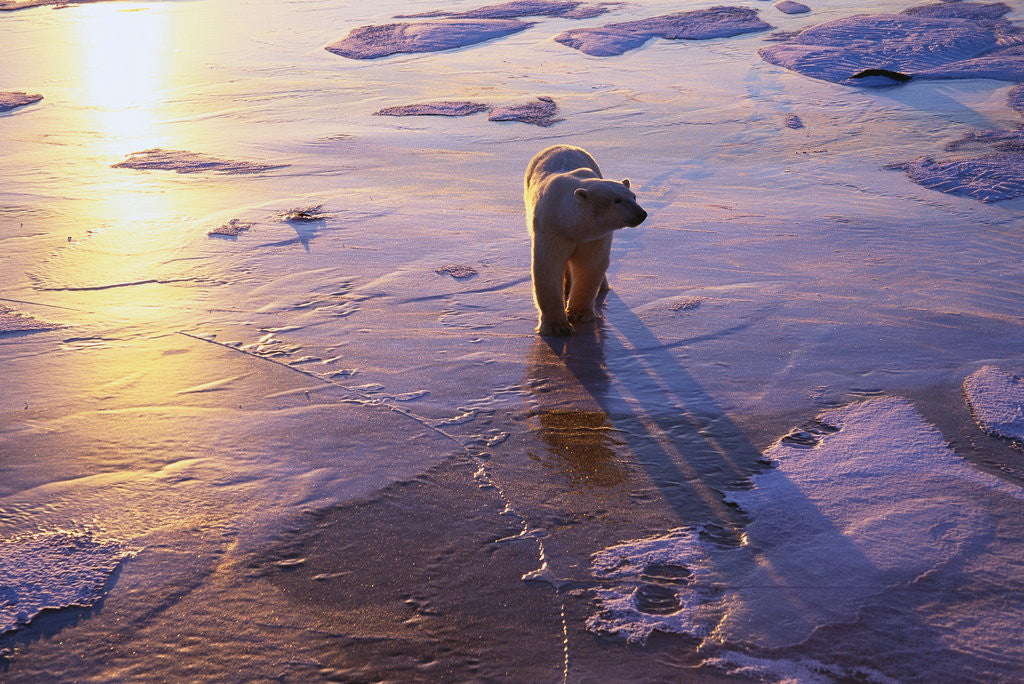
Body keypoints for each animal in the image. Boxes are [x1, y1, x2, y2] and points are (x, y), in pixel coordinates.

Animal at [524, 145, 647, 336]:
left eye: (634, 196)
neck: (570, 222)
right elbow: (548, 265)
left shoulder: (595, 237)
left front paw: (579, 315)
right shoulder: (551, 228)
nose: (641, 214)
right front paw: (557, 326)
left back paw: (602, 286)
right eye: (617, 200)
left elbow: (590, 264)